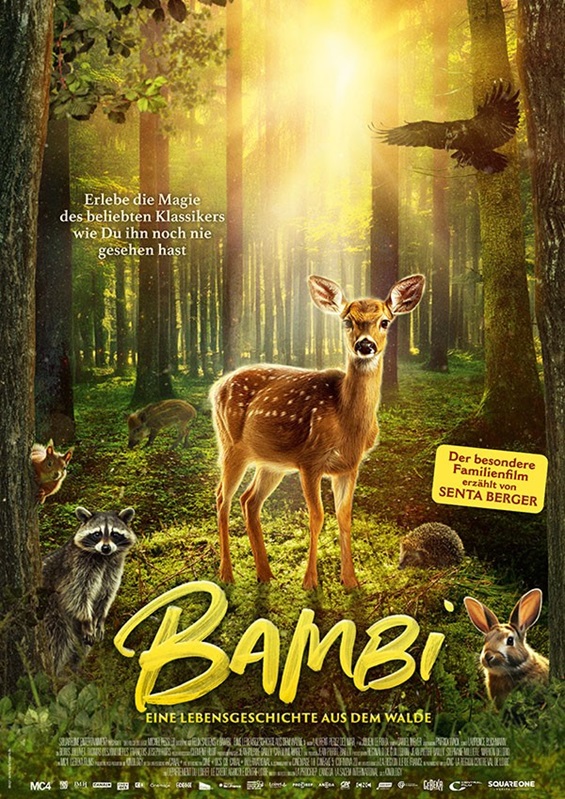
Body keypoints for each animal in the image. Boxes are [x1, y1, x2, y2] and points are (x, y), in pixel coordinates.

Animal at [41, 506, 136, 675]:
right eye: (97, 534)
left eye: (115, 534)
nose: (106, 548)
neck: (103, 557)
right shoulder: (76, 570)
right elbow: (78, 596)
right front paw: (87, 620)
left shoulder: (111, 571)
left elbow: (105, 596)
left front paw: (101, 619)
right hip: (51, 611)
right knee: (57, 640)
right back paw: (53, 674)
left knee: (80, 646)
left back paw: (74, 669)